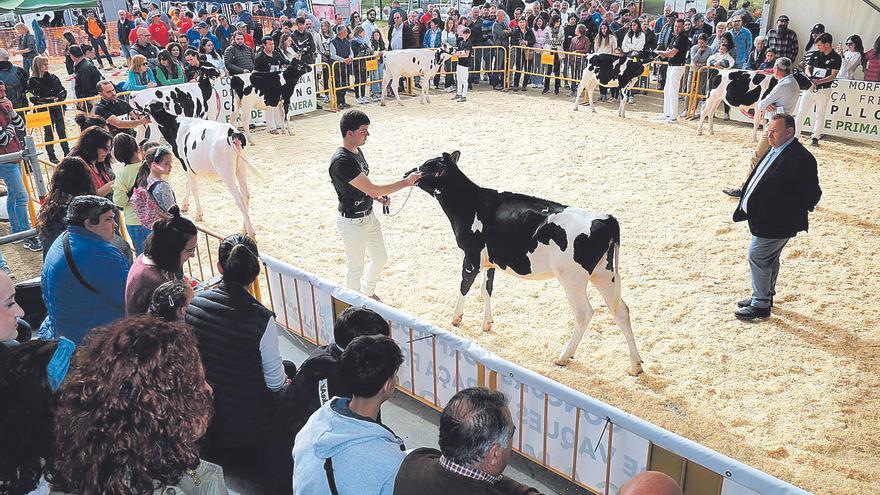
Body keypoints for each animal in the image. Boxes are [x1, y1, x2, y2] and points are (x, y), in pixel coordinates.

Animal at [144, 101, 260, 237]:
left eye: (145, 109)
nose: (135, 112)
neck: (175, 126)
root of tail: (233, 132)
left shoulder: (185, 163)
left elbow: (193, 188)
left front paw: (198, 214)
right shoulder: (189, 166)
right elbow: (188, 183)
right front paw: (185, 205)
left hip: (226, 171)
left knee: (239, 199)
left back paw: (251, 233)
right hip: (240, 166)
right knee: (246, 194)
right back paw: (244, 229)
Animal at [410, 151, 644, 376]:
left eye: (427, 166)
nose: (407, 173)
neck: (470, 203)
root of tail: (607, 219)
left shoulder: (471, 256)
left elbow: (464, 285)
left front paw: (456, 318)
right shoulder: (490, 261)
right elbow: (486, 289)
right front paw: (487, 323)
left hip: (572, 279)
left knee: (584, 313)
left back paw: (563, 357)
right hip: (604, 274)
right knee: (621, 310)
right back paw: (635, 366)